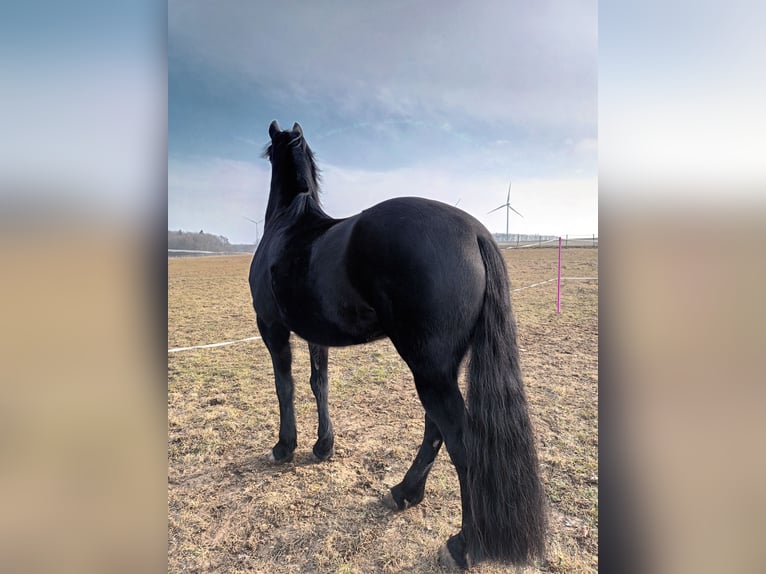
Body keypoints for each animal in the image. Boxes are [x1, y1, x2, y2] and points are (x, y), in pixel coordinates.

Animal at [249, 120, 546, 569]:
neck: (289, 224)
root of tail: (475, 233)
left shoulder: (272, 329)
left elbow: (285, 387)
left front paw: (285, 446)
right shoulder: (317, 337)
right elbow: (320, 385)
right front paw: (322, 446)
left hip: (429, 369)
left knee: (460, 441)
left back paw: (464, 544)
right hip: (437, 369)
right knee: (435, 428)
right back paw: (406, 492)